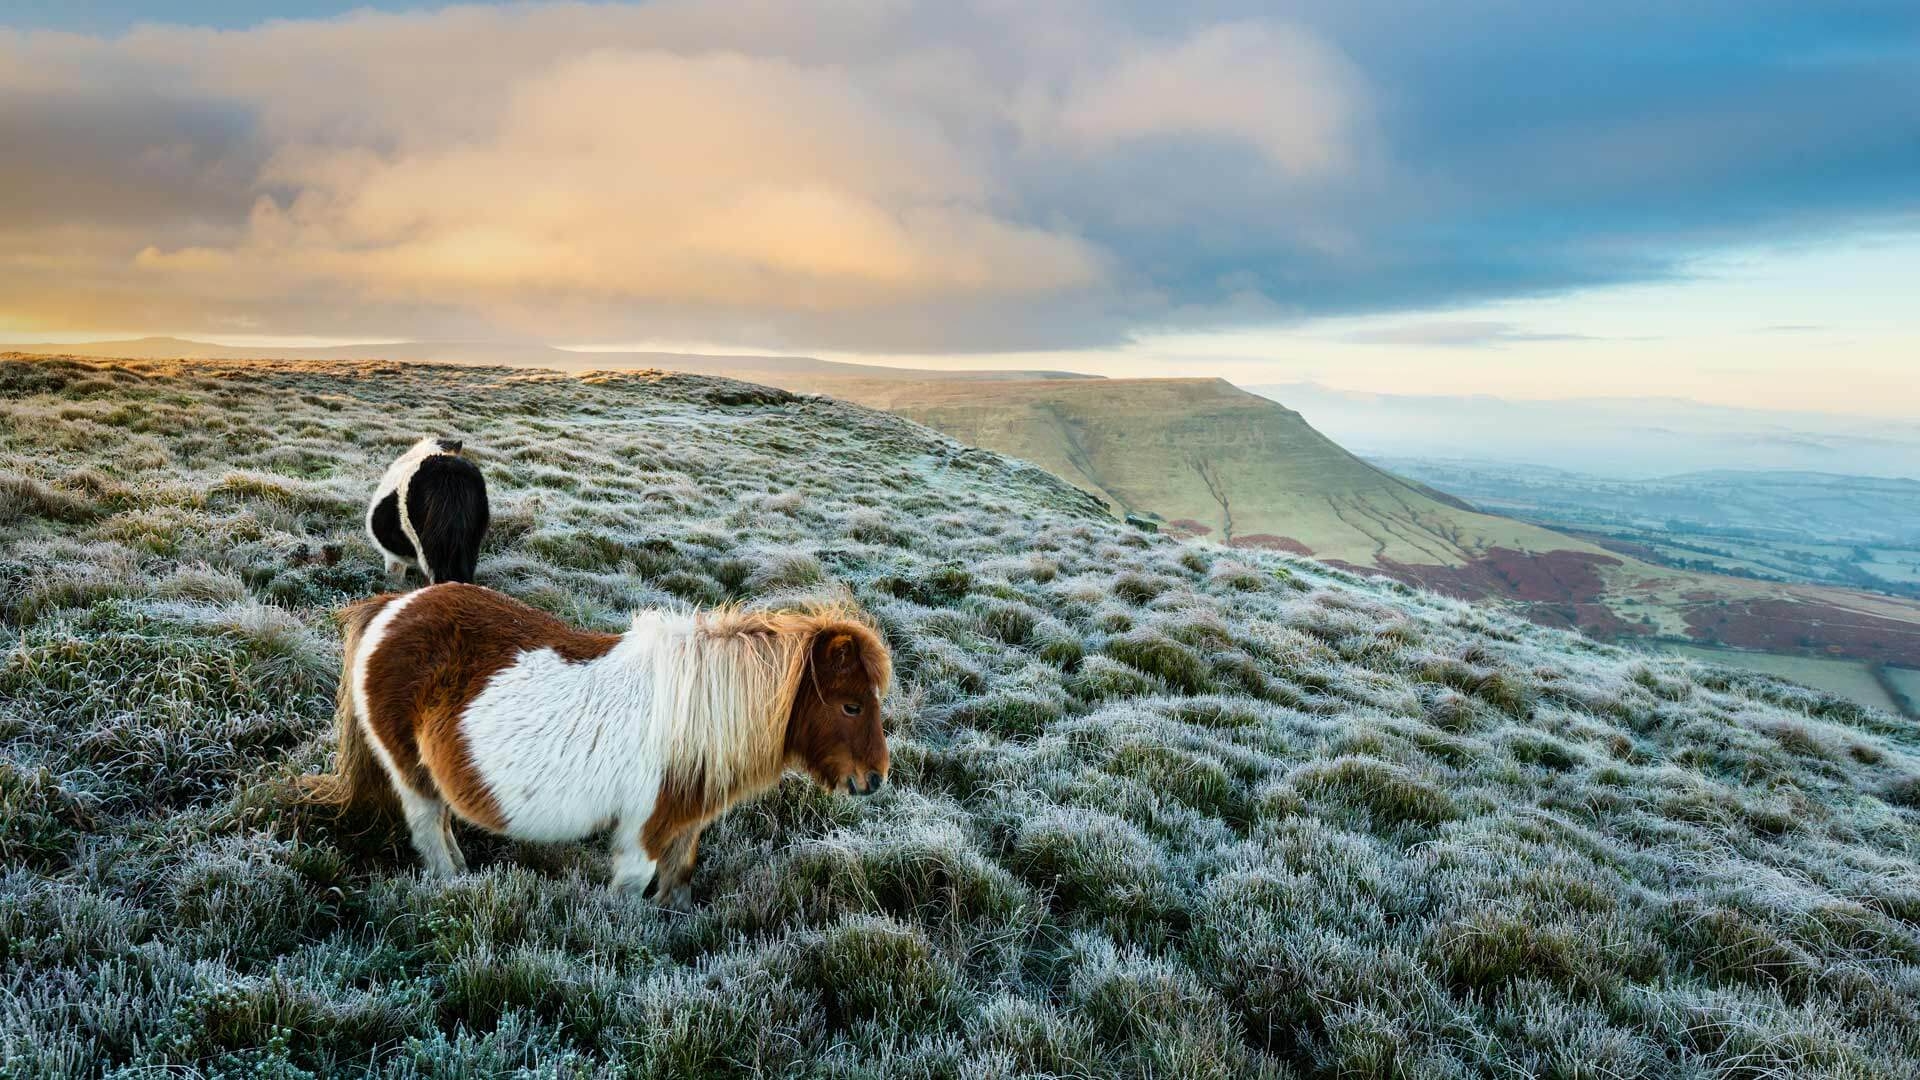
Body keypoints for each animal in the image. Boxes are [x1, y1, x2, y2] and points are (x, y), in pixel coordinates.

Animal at [305, 580, 890, 899]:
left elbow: (678, 886)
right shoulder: (642, 834)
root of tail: (390, 607)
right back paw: (454, 886)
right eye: (851, 705)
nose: (876, 779)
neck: (697, 715)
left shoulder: (684, 827)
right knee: (429, 832)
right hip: (412, 776)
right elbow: (628, 896)